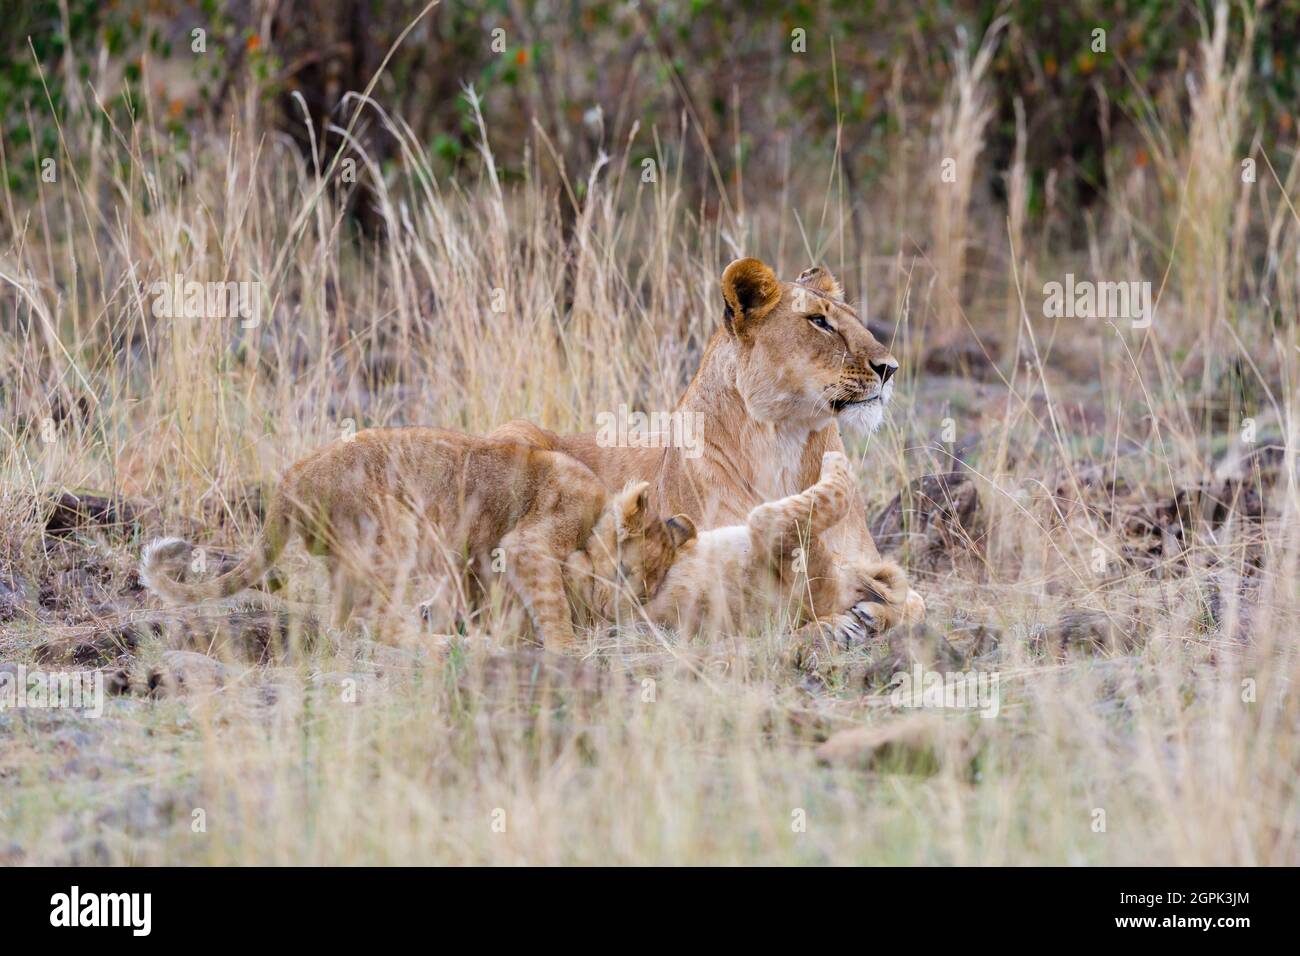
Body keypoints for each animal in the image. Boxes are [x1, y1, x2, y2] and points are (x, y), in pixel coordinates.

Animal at [488, 257, 925, 639]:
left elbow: (913, 600)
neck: (785, 440)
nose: (890, 368)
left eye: (854, 320)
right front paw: (840, 622)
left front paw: (869, 613)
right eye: (819, 322)